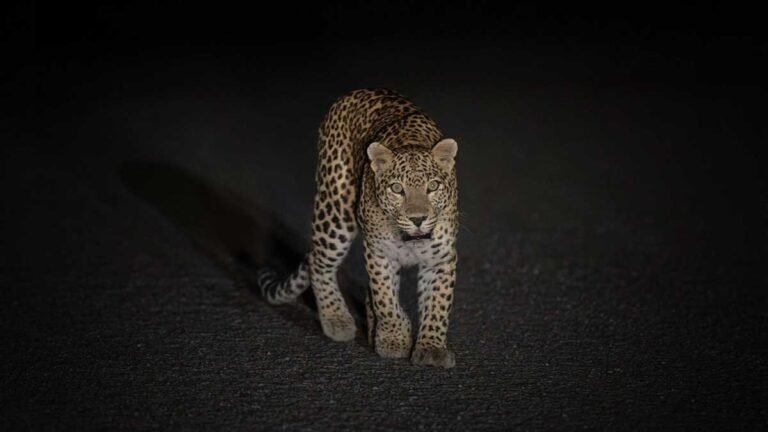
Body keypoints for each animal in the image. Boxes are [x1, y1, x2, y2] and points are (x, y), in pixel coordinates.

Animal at [257, 88, 458, 368]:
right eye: (397, 188)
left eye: (433, 186)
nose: (418, 218)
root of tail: (357, 92)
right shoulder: (379, 251)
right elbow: (385, 297)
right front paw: (393, 338)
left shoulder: (440, 257)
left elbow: (438, 304)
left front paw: (431, 348)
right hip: (336, 209)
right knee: (319, 262)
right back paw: (336, 319)